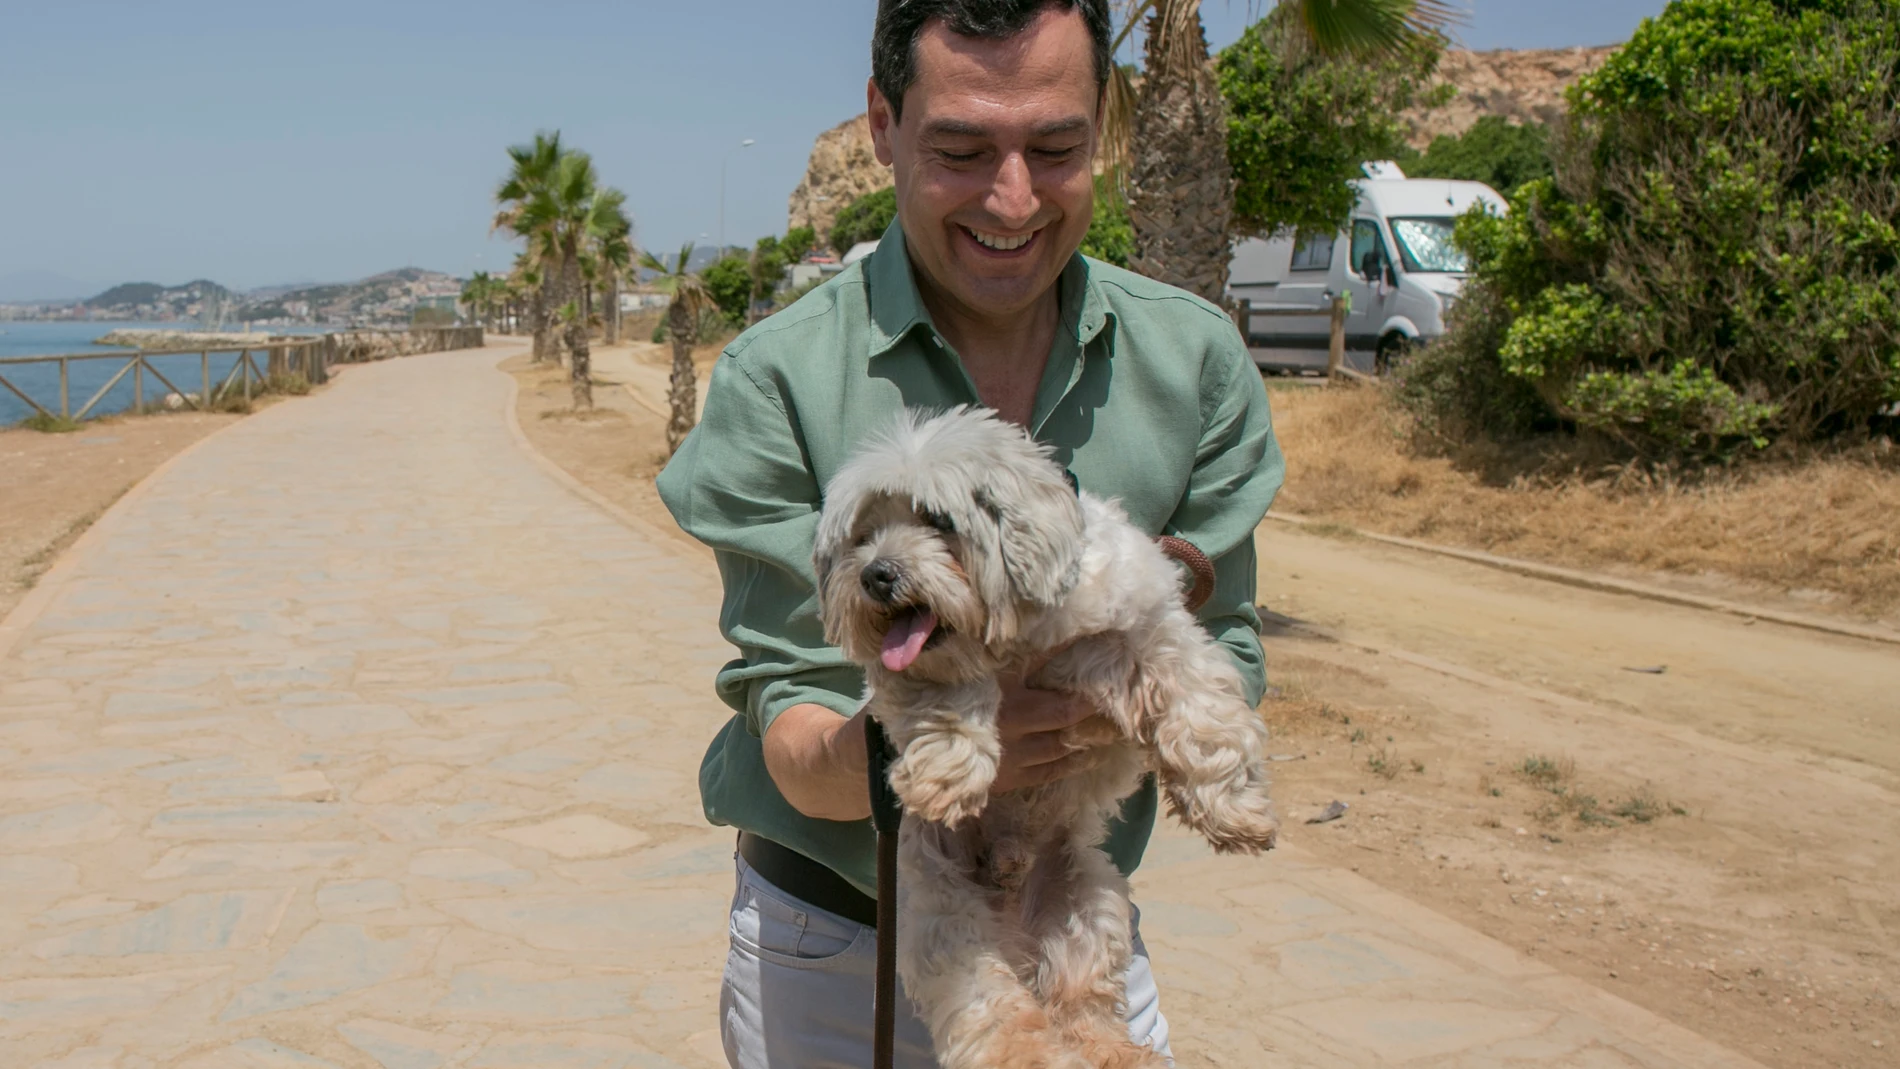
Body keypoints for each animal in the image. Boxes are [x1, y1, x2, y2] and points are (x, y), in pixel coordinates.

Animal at [813, 406, 1276, 1063]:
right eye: (862, 536)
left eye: (938, 520)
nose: (877, 574)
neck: (1016, 639)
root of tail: (1017, 925)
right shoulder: (907, 678)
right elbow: (945, 697)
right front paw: (946, 775)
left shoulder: (1152, 630)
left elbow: (1204, 712)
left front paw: (1235, 812)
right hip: (942, 921)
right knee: (995, 1011)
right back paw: (1032, 1053)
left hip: (1091, 905)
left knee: (1082, 1004)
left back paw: (1121, 1054)